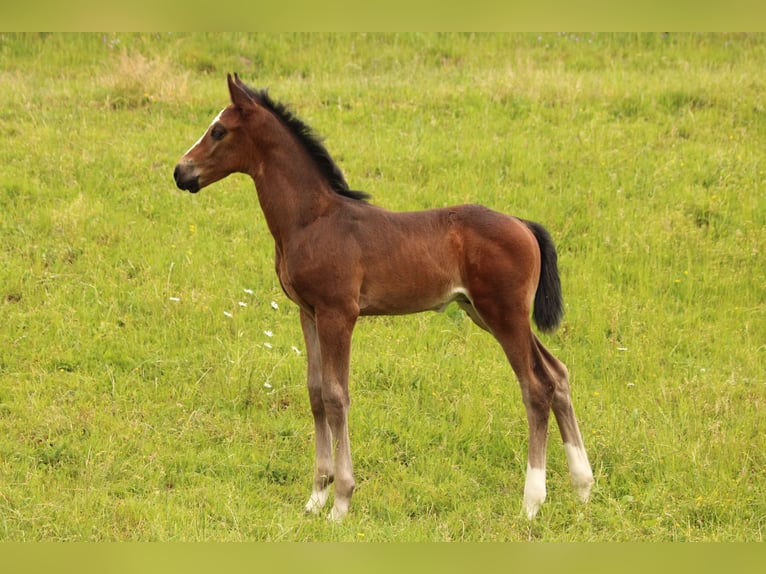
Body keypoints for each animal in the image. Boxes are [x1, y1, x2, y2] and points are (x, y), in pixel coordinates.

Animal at [173, 74, 594, 521]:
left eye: (219, 130)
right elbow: (316, 393)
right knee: (558, 373)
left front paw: (341, 501)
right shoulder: (308, 313)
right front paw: (315, 497)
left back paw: (532, 502)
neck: (311, 219)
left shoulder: (339, 313)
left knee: (536, 387)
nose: (181, 172)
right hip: (489, 314)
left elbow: (337, 396)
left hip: (504, 314)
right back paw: (583, 487)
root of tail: (523, 224)